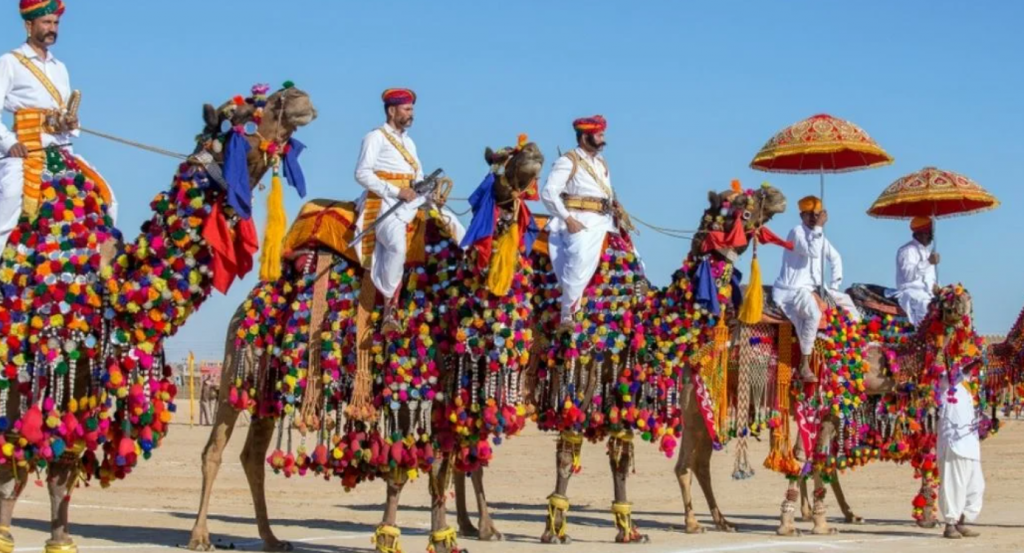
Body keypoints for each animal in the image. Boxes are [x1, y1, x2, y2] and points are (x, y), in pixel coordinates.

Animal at [0, 84, 315, 553]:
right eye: (242, 115)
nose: (298, 97)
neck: (109, 285)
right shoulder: (30, 360)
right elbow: (13, 459)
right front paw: (6, 535)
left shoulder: (84, 370)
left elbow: (62, 465)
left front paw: (60, 540)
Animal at [189, 138, 548, 553]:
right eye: (501, 159)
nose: (533, 151)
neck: (452, 293)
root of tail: (248, 302)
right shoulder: (404, 385)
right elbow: (403, 468)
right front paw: (388, 535)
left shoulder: (443, 394)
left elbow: (440, 467)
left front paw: (443, 538)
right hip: (238, 366)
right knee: (214, 448)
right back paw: (200, 536)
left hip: (269, 384)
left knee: (252, 455)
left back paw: (272, 538)